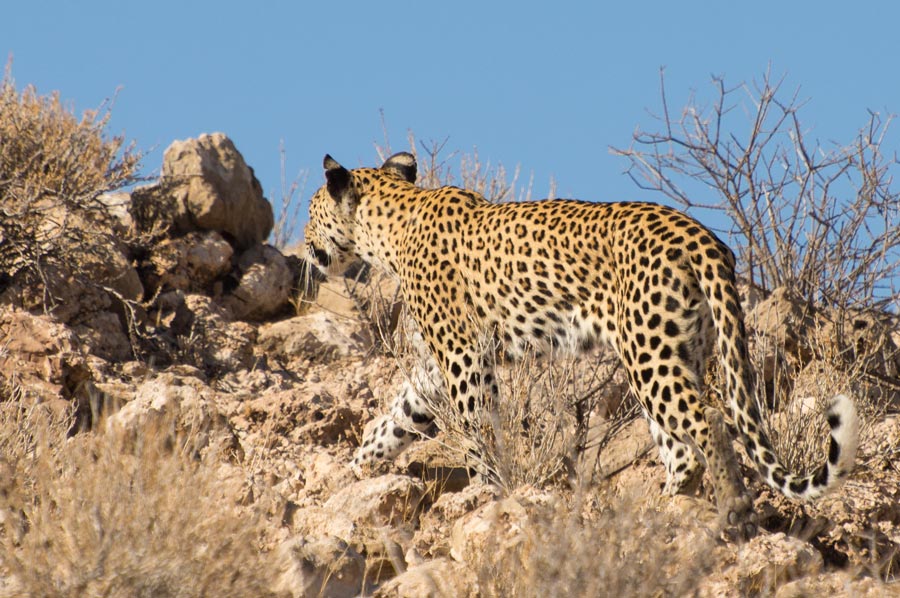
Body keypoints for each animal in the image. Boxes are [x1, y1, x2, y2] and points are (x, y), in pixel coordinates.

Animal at [303, 151, 859, 538]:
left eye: (309, 213)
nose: (307, 247)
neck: (390, 227)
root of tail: (701, 235)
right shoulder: (437, 369)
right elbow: (393, 420)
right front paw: (354, 472)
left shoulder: (464, 358)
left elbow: (479, 434)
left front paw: (486, 494)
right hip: (677, 352)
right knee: (683, 449)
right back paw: (662, 508)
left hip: (649, 356)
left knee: (709, 421)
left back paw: (732, 513)